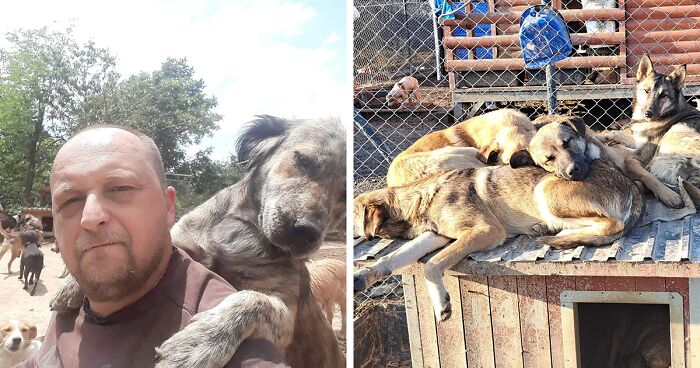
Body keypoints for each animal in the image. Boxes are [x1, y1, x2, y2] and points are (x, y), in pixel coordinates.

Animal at [596, 53, 700, 207]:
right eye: (647, 91)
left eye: (664, 95)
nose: (648, 114)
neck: (669, 112)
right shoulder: (638, 140)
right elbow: (617, 133)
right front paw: (602, 136)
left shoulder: (642, 153)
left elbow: (620, 146)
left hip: (673, 135)